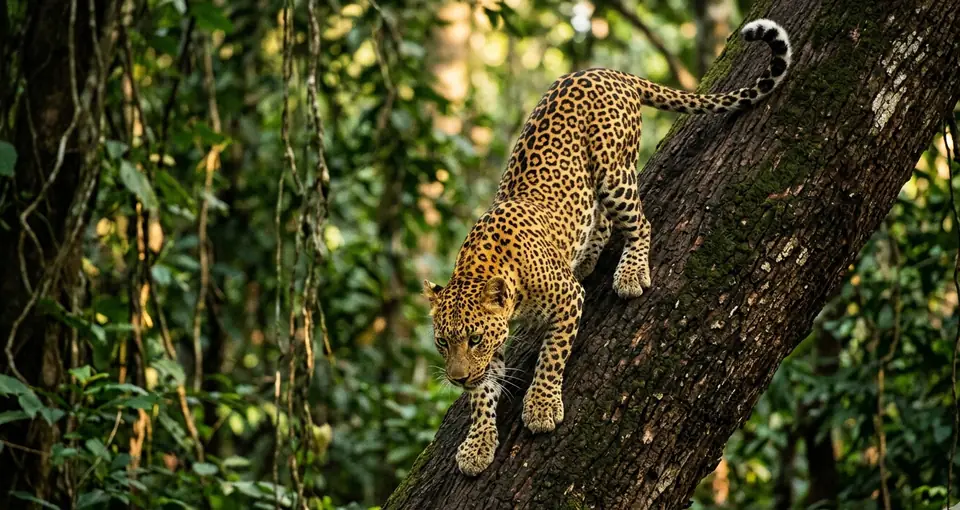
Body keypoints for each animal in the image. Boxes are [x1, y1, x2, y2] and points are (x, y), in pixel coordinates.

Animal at [423, 19, 792, 476]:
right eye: (443, 342)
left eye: (473, 338)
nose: (455, 378)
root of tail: (610, 72)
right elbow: (482, 394)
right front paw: (478, 442)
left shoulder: (566, 300)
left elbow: (551, 357)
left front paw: (541, 406)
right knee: (596, 218)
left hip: (614, 172)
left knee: (639, 224)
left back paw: (630, 273)